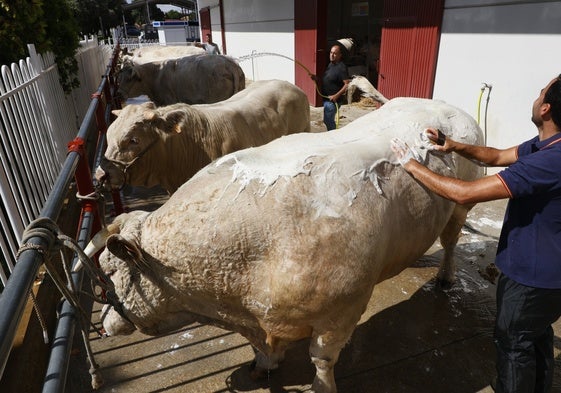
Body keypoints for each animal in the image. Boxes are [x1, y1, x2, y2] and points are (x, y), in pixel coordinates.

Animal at [86, 96, 482, 390]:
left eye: (110, 271)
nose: (104, 324)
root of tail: (448, 105)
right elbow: (263, 349)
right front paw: (264, 363)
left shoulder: (341, 311)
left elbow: (321, 360)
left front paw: (322, 386)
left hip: (460, 204)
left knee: (450, 241)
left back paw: (446, 277)